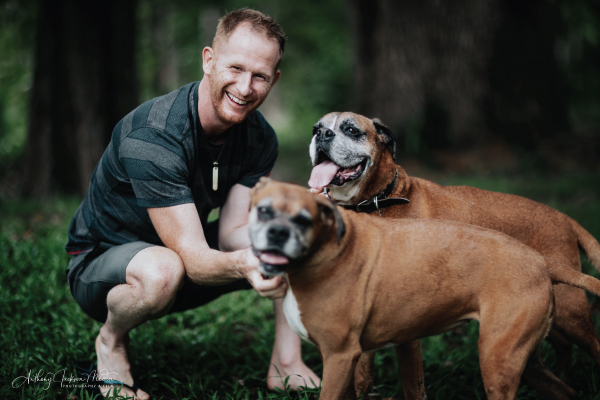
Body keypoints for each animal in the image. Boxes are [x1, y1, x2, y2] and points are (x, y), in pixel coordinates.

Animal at [250, 180, 600, 400]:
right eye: (263, 210)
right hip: (524, 360)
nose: (278, 233)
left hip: (502, 361)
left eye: (304, 219)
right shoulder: (348, 363)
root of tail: (543, 261)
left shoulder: (340, 358)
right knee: (566, 391)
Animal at [308, 111, 600, 398]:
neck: (380, 199)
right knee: (562, 355)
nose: (322, 134)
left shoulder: (408, 339)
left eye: (351, 130)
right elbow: (361, 373)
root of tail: (564, 218)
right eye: (316, 128)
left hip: (570, 314)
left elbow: (413, 384)